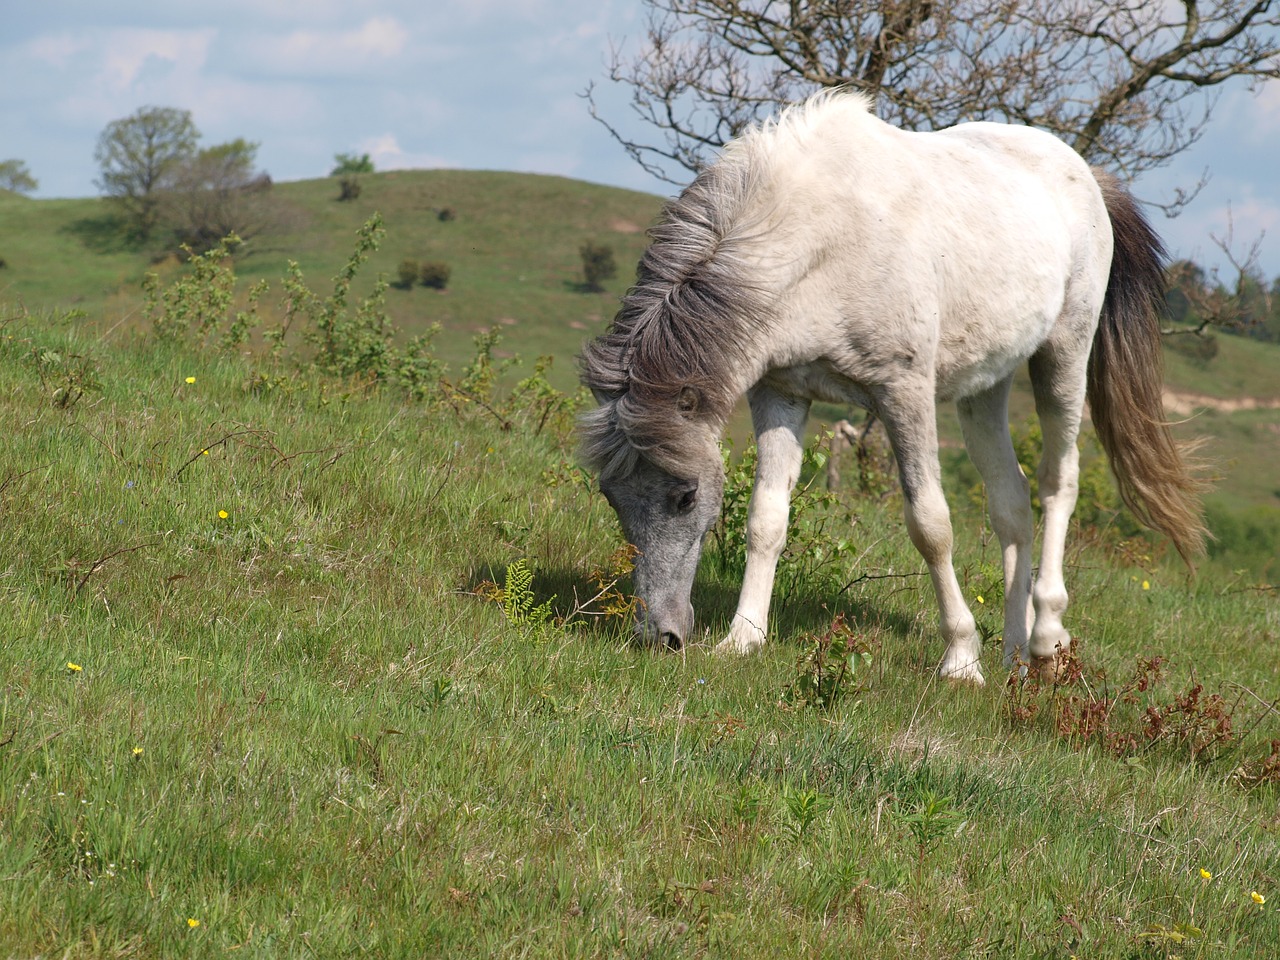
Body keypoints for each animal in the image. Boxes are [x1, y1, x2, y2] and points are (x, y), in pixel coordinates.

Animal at [581, 92, 1198, 686]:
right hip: (985, 388)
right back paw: (1015, 657)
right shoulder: (780, 392)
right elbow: (766, 518)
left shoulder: (904, 392)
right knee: (1012, 504)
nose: (660, 636)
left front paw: (961, 660)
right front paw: (743, 640)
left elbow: (931, 525)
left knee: (1057, 483)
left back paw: (1046, 641)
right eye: (612, 498)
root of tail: (1086, 174)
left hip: (1063, 359)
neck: (819, 238)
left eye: (685, 497)